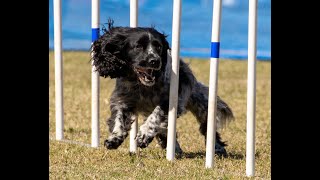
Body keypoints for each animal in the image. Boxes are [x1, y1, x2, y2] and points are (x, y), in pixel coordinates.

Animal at [91, 21, 234, 156]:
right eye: (138, 46)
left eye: (158, 47)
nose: (155, 60)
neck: (142, 87)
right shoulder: (123, 99)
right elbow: (119, 118)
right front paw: (114, 138)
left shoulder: (171, 100)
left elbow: (156, 115)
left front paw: (144, 135)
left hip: (202, 105)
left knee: (207, 127)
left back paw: (217, 148)